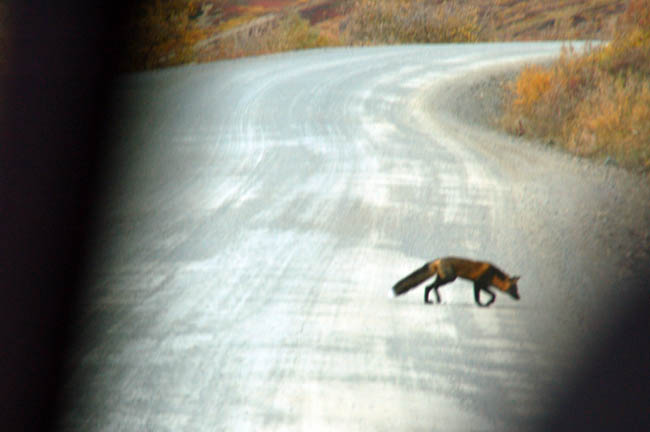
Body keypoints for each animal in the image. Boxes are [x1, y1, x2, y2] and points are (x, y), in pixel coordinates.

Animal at [392, 257, 520, 307]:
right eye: (514, 289)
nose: (519, 297)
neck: (493, 274)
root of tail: (438, 260)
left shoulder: (481, 284)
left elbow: (486, 295)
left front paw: (485, 303)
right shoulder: (478, 283)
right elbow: (486, 296)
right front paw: (483, 304)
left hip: (443, 279)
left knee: (429, 287)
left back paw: (432, 300)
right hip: (449, 279)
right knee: (430, 287)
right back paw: (431, 300)